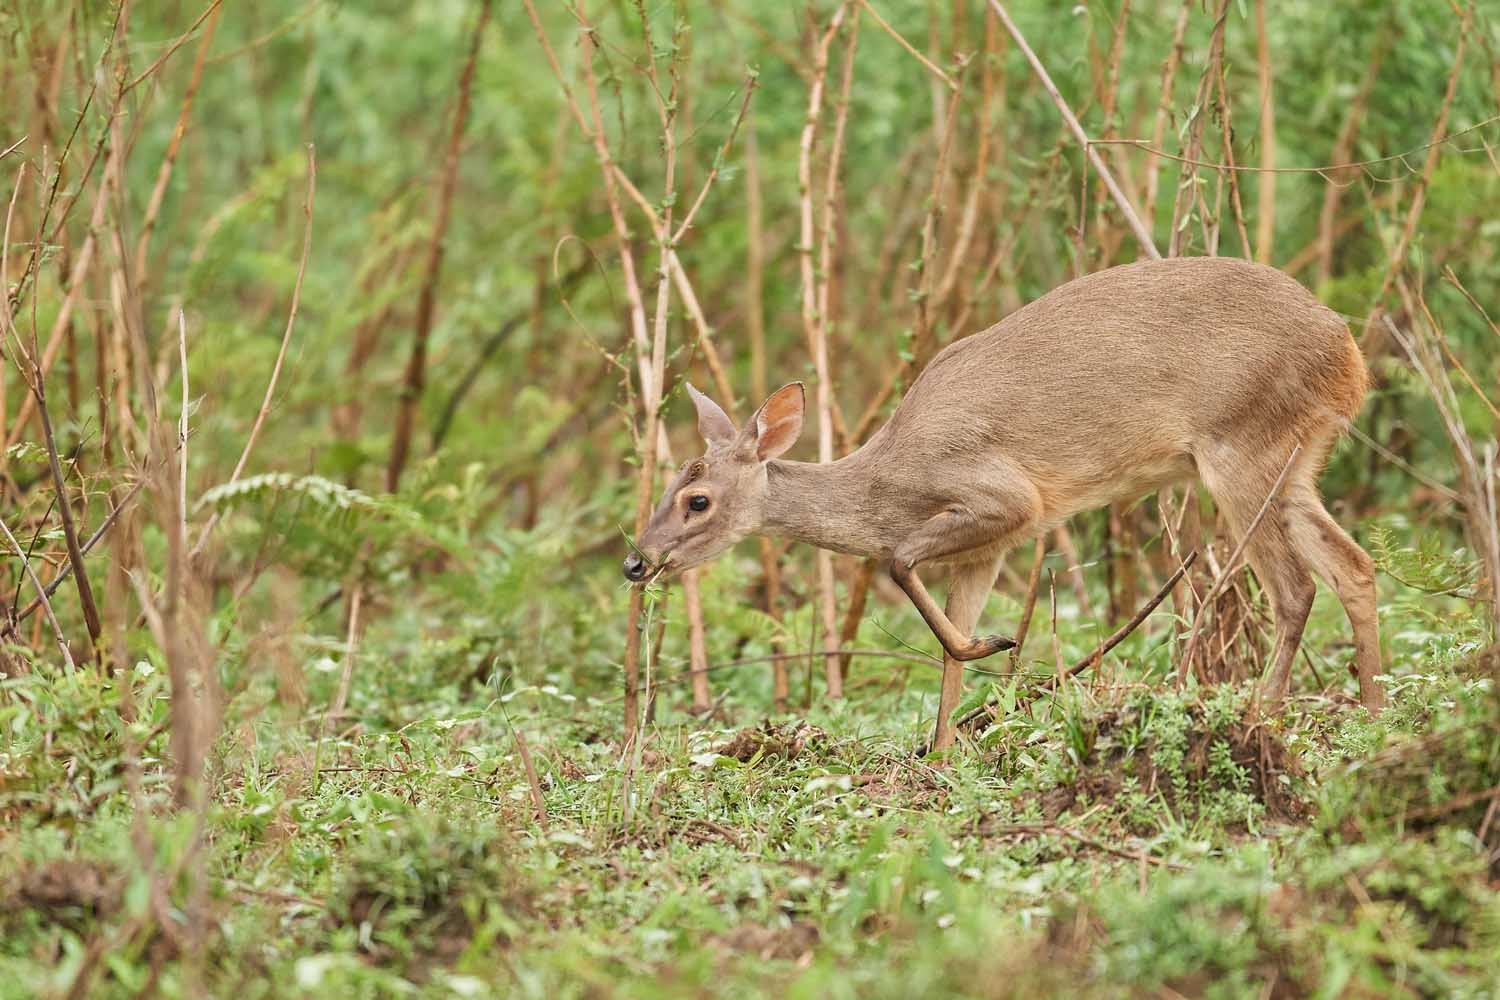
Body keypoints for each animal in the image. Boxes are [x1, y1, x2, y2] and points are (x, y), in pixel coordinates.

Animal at [622, 256, 1386, 750]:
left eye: (696, 500)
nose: (636, 561)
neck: (887, 481)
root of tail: (1348, 349)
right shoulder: (986, 549)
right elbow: (947, 647)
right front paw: (941, 751)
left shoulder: (1005, 498)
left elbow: (900, 563)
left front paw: (997, 646)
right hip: (1295, 460)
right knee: (1354, 565)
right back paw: (1375, 709)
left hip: (1239, 449)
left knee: (1295, 588)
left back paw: (1265, 716)